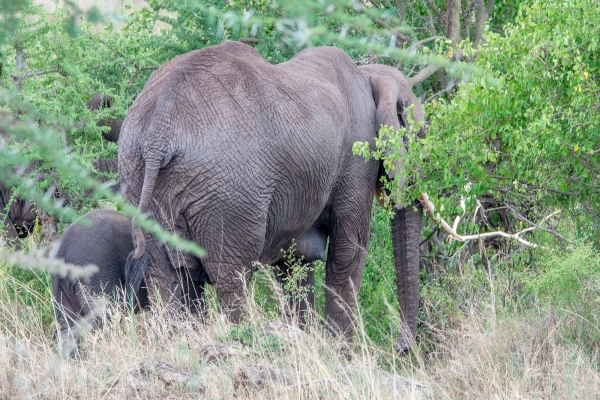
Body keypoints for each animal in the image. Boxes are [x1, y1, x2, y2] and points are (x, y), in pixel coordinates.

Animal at [119, 40, 424, 352]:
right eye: (420, 136)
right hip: (229, 193)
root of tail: (159, 132)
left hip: (138, 176)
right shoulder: (357, 157)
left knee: (168, 277)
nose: (401, 347)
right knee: (233, 277)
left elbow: (297, 260)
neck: (369, 75)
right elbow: (349, 250)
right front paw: (342, 352)